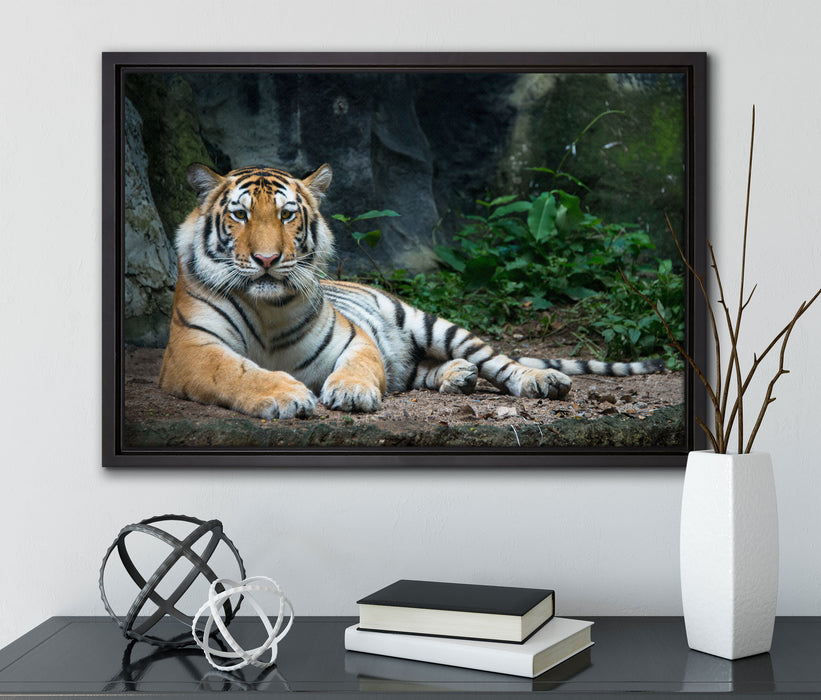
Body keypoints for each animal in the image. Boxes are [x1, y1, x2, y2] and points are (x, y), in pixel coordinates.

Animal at [158, 162, 664, 419]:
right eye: (240, 215)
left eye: (286, 215)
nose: (266, 260)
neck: (267, 308)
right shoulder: (192, 350)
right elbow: (237, 372)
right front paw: (286, 396)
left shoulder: (354, 338)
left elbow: (360, 366)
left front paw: (350, 393)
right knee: (415, 369)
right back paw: (458, 376)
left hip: (430, 323)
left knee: (499, 361)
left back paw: (540, 380)